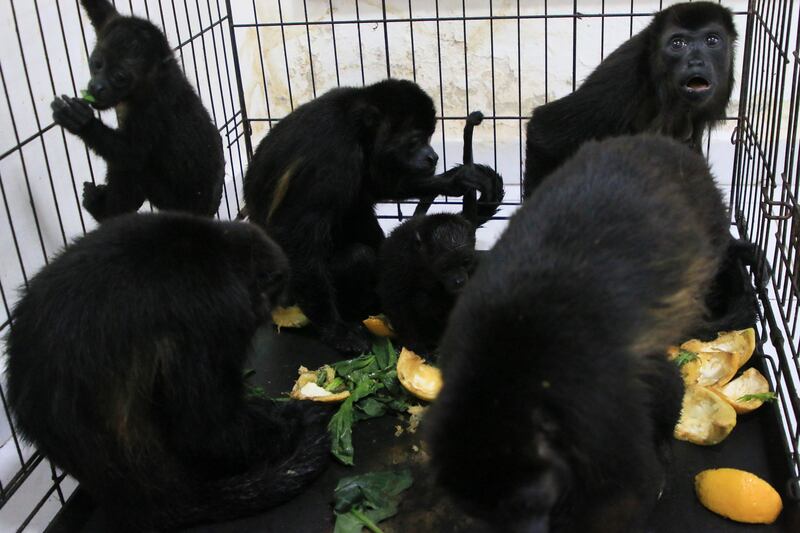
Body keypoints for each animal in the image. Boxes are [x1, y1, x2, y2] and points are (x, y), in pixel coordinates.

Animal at [51, 0, 223, 220]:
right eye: (96, 64)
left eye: (119, 77)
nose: (97, 87)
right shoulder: (112, 22)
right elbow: (99, 10)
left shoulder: (152, 108)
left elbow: (132, 155)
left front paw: (81, 122)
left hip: (173, 202)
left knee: (132, 169)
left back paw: (105, 212)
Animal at [245, 80, 494, 354]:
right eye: (415, 140)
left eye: (429, 137)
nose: (433, 156)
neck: (355, 125)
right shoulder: (333, 156)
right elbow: (295, 235)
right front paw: (337, 331)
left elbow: (374, 186)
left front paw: (453, 181)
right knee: (358, 255)